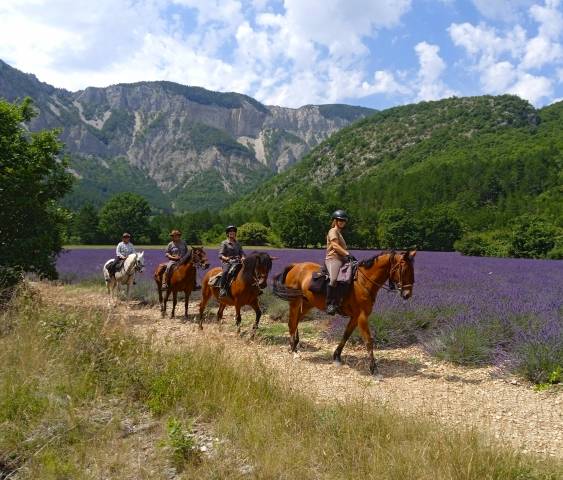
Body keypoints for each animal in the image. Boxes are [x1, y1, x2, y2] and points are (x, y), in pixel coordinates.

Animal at [274, 249, 418, 376]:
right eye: (404, 270)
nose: (407, 294)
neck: (363, 282)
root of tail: (295, 265)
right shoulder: (362, 317)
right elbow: (368, 341)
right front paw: (373, 368)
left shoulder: (355, 317)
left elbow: (346, 335)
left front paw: (337, 356)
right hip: (295, 302)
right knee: (292, 323)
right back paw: (294, 351)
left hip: (307, 304)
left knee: (296, 320)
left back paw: (295, 344)